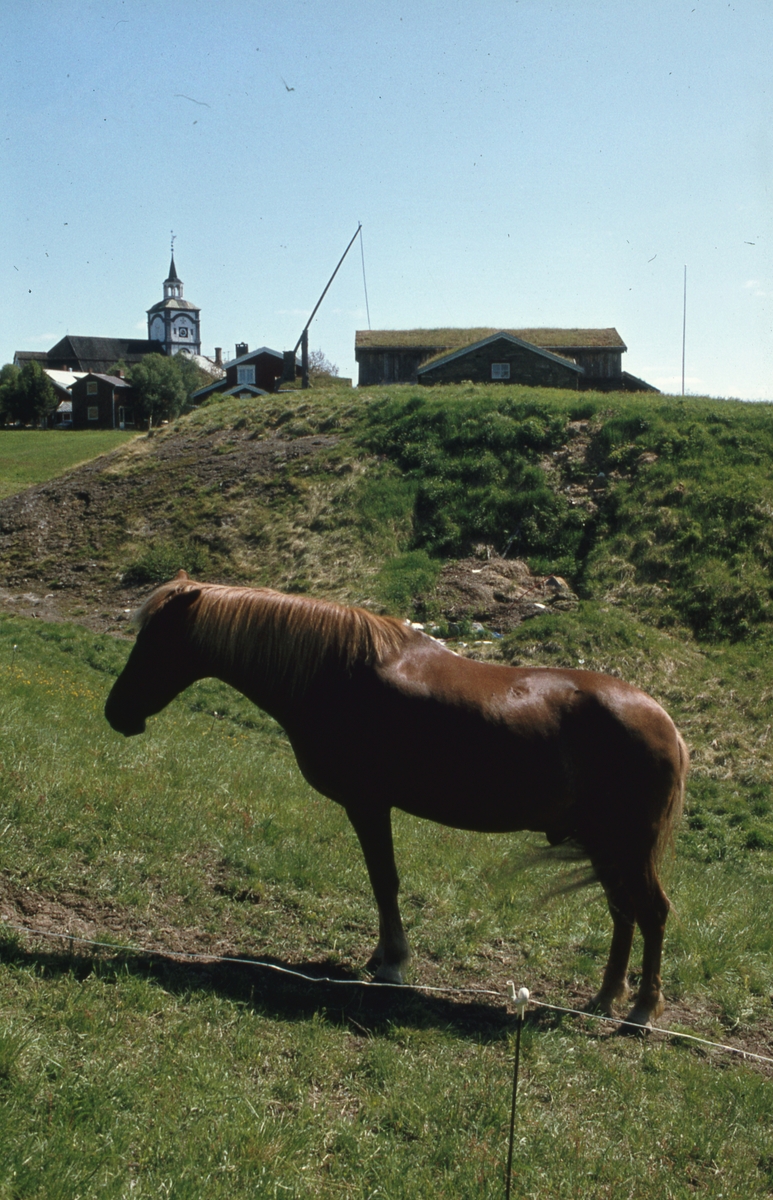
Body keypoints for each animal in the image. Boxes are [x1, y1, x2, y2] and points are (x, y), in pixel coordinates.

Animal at [104, 576, 686, 1027]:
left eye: (156, 642)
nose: (116, 712)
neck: (337, 672)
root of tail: (666, 724)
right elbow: (380, 881)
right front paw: (379, 956)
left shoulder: (368, 804)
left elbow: (384, 880)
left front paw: (392, 964)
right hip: (606, 845)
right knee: (623, 914)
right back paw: (604, 1000)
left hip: (627, 846)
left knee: (652, 912)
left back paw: (639, 1012)